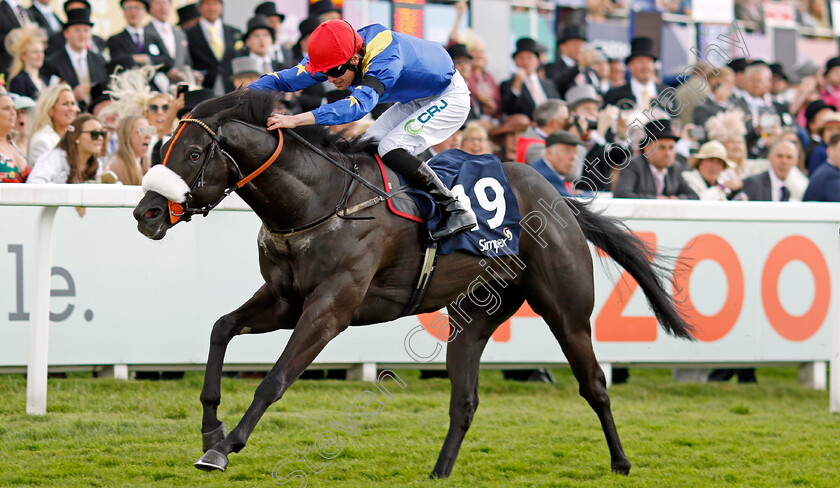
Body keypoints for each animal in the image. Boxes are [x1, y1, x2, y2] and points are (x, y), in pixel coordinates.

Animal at [135, 89, 692, 478]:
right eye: (164, 147)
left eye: (192, 154)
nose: (146, 213)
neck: (318, 200)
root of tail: (559, 198)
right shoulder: (284, 300)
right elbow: (220, 329)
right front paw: (210, 426)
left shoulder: (330, 308)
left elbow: (274, 379)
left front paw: (223, 448)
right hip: (474, 316)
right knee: (464, 400)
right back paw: (439, 472)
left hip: (566, 310)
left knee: (594, 383)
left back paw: (620, 462)